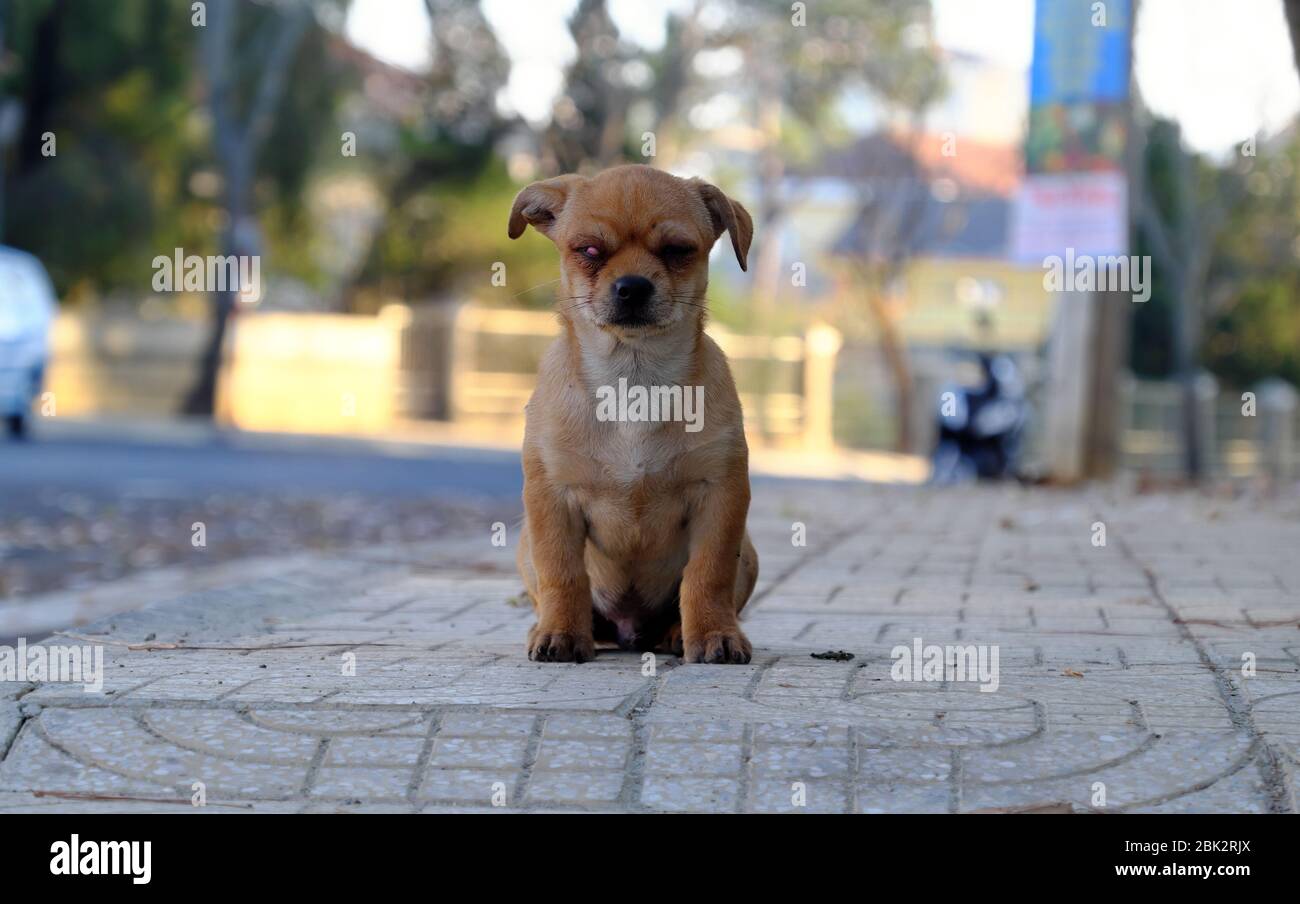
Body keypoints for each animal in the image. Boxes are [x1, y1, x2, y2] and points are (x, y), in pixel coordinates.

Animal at [504, 164, 759, 665]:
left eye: (678, 250)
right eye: (588, 250)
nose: (633, 286)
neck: (633, 383)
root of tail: (630, 631)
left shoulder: (721, 498)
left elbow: (709, 574)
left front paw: (714, 634)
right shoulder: (552, 502)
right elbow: (562, 573)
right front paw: (562, 633)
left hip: (749, 551)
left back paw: (679, 632)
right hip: (524, 548)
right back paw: (549, 627)